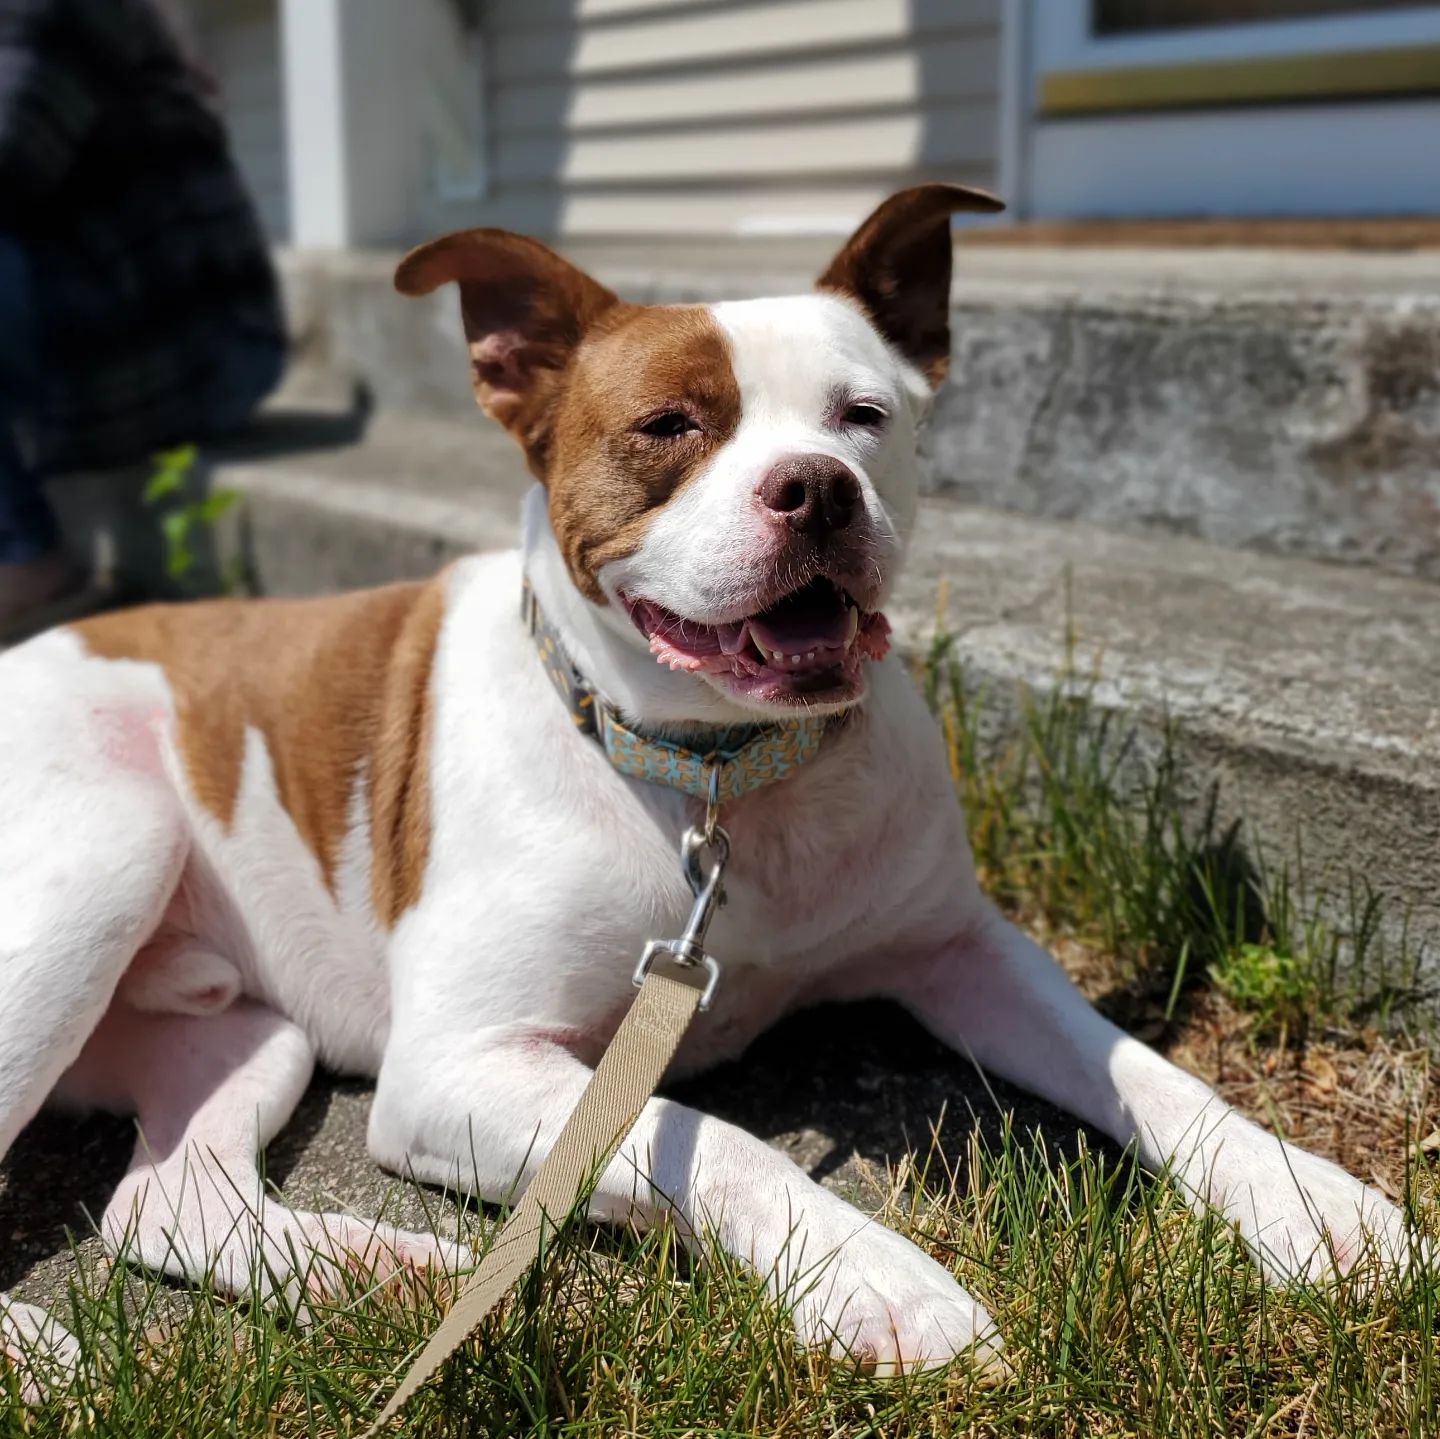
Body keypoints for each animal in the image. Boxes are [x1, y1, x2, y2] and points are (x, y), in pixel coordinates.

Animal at [0, 182, 1411, 1394]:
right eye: (671, 425)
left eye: (865, 416)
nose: (819, 490)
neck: (725, 775)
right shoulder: (458, 1067)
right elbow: (712, 1132)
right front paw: (877, 1277)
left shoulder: (964, 945)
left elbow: (1141, 1070)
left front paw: (1304, 1198)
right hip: (104, 858)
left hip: (239, 1021)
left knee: (168, 1200)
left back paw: (380, 1277)